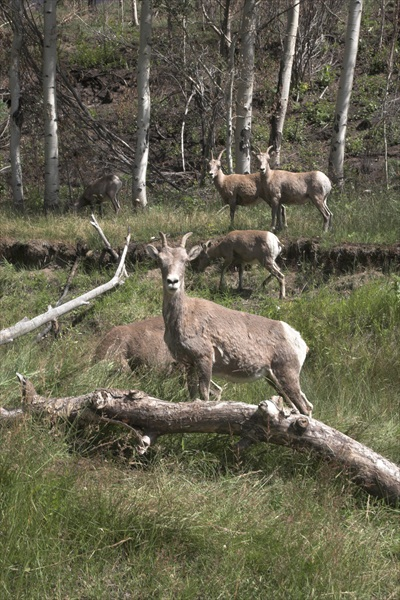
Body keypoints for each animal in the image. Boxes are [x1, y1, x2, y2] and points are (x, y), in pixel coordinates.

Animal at [145, 231, 314, 418]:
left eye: (185, 261)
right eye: (160, 260)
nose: (172, 282)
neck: (184, 316)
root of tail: (299, 340)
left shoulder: (204, 358)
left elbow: (204, 395)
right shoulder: (189, 364)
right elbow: (192, 395)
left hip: (287, 375)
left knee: (304, 407)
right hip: (274, 379)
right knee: (305, 405)